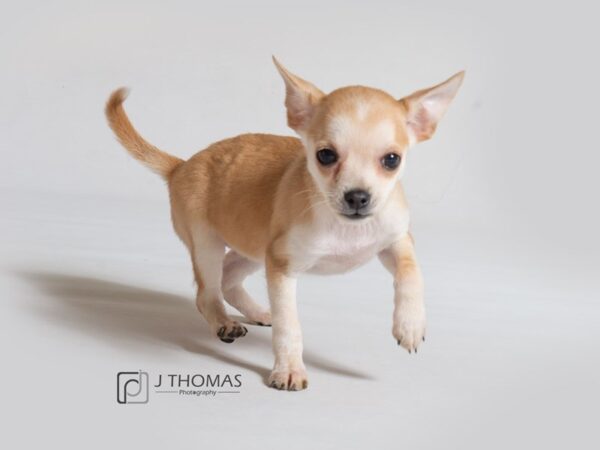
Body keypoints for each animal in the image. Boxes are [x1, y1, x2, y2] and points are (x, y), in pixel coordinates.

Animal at [105, 59, 464, 390]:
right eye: (326, 156)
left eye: (392, 160)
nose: (358, 197)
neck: (343, 228)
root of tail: (180, 166)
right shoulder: (281, 266)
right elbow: (290, 325)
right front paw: (289, 369)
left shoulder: (396, 240)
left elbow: (411, 274)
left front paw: (410, 323)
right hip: (208, 245)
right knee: (208, 292)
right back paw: (225, 321)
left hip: (254, 248)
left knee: (229, 278)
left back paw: (260, 312)